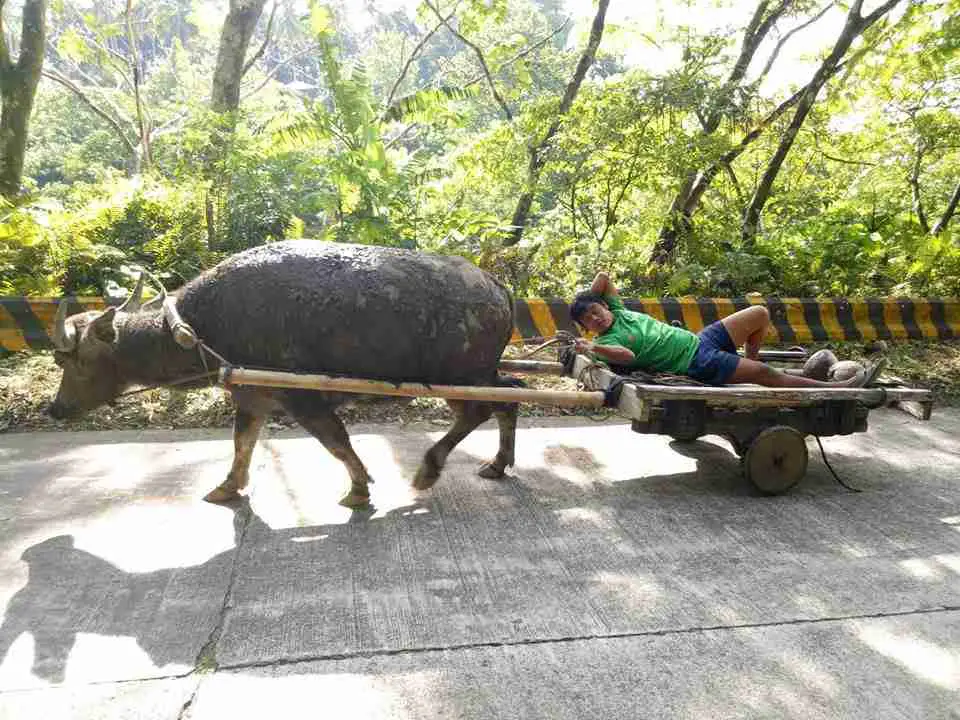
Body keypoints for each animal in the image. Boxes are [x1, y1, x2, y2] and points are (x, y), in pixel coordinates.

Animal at [48, 242, 520, 506]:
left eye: (75, 361)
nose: (55, 410)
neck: (202, 328)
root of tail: (499, 288)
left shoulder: (304, 401)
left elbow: (337, 444)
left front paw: (359, 488)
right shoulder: (251, 398)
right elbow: (242, 445)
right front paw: (227, 487)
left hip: (462, 379)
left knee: (478, 412)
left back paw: (428, 469)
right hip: (484, 373)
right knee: (510, 395)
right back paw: (497, 465)